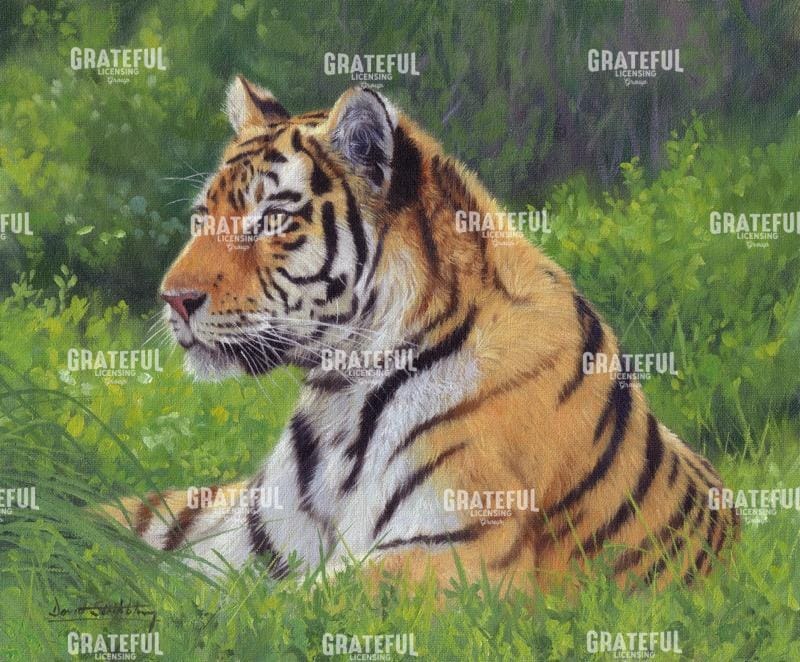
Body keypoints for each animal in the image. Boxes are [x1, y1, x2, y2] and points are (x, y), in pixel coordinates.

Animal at [103, 76, 738, 593]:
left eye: (274, 220)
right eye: (201, 217)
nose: (172, 298)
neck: (339, 398)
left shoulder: (455, 549)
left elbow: (282, 607)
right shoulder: (244, 535)